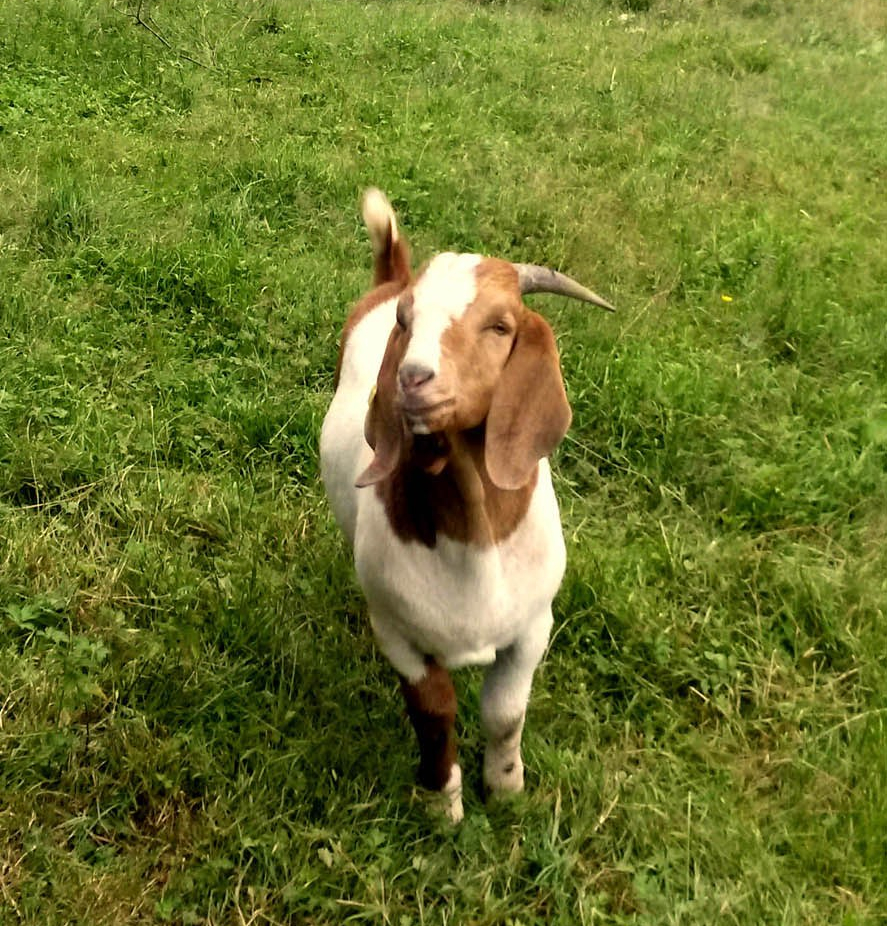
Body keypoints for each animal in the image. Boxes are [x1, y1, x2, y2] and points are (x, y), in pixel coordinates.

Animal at [320, 189, 613, 822]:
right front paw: (442, 803)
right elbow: (434, 712)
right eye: (406, 323)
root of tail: (389, 279)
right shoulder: (399, 634)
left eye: (500, 325)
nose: (412, 379)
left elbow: (504, 713)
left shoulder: (532, 627)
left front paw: (505, 789)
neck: (475, 531)